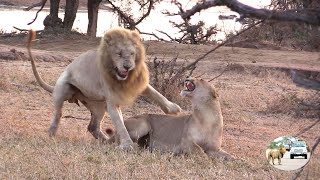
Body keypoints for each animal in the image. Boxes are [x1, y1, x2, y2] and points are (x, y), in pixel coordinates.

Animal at [26, 27, 182, 149]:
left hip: (98, 106)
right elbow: (120, 123)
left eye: (132, 53)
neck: (121, 79)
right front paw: (127, 145)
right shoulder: (112, 101)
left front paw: (173, 109)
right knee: (58, 114)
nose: (127, 66)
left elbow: (155, 92)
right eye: (118, 54)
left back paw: (106, 141)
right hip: (64, 89)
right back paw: (52, 132)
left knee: (93, 127)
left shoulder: (136, 82)